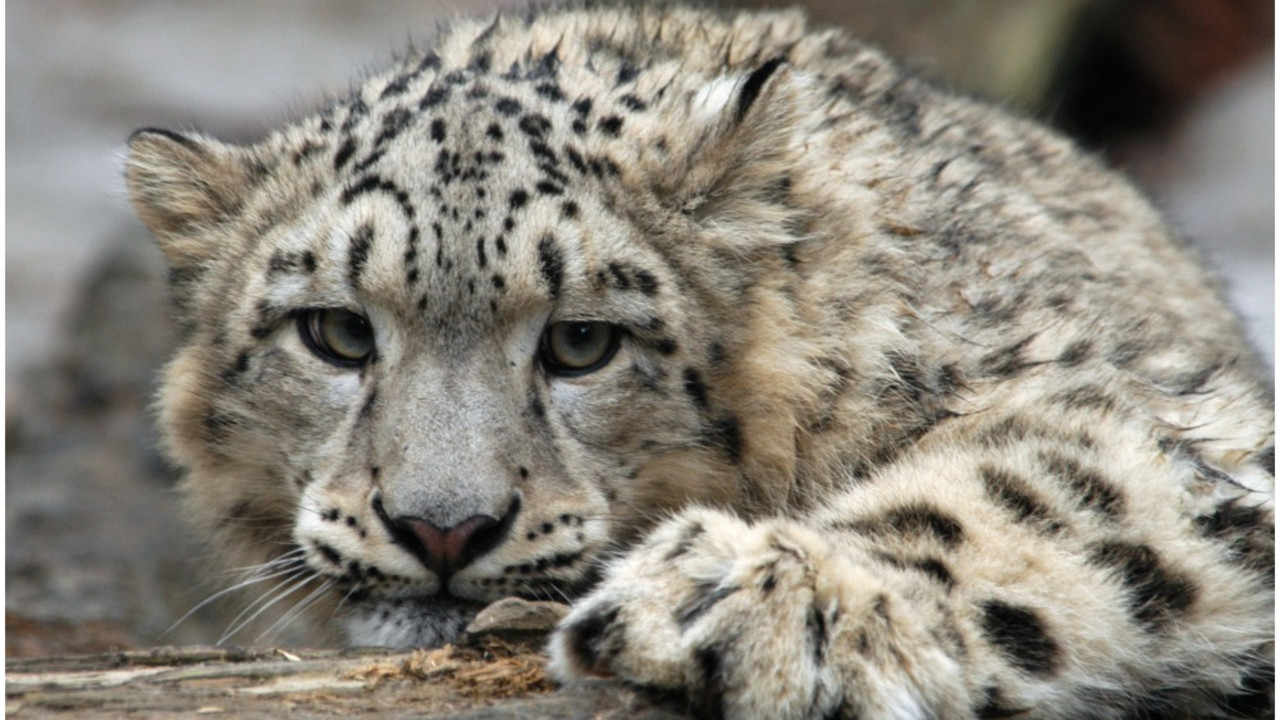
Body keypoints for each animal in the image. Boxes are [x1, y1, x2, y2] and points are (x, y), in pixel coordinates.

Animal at [124, 3, 1274, 718]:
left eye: (583, 340)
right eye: (337, 333)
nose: (442, 528)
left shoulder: (1172, 411)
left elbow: (1043, 483)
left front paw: (760, 602)